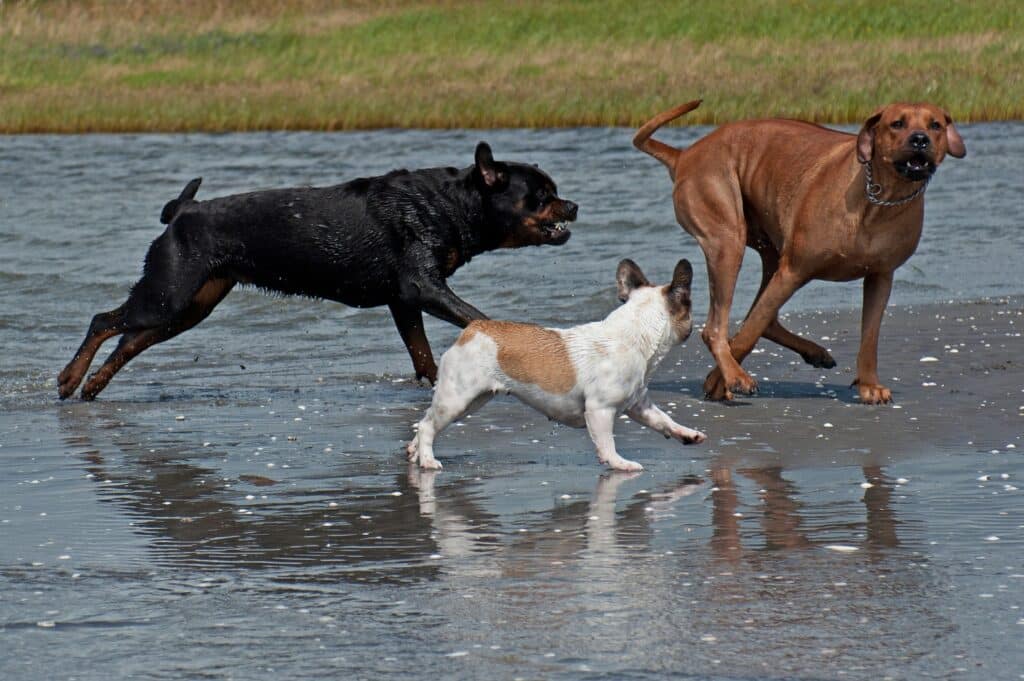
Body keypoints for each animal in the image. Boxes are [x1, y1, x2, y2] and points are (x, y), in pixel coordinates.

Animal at [405, 258, 704, 471]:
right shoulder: (600, 411)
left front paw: (687, 434)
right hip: (457, 398)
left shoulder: (640, 406)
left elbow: (663, 420)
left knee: (425, 421)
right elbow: (607, 442)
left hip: (472, 400)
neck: (635, 332)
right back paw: (428, 461)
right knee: (429, 425)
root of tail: (474, 328)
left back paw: (415, 451)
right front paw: (619, 463)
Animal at [634, 98, 962, 401]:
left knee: (765, 318)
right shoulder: (793, 271)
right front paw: (720, 380)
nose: (920, 139)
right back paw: (735, 373)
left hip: (769, 248)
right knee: (718, 327)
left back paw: (813, 352)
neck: (880, 199)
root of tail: (685, 155)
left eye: (935, 125)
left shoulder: (881, 276)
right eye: (897, 124)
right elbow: (748, 333)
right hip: (727, 239)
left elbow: (869, 337)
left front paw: (869, 385)